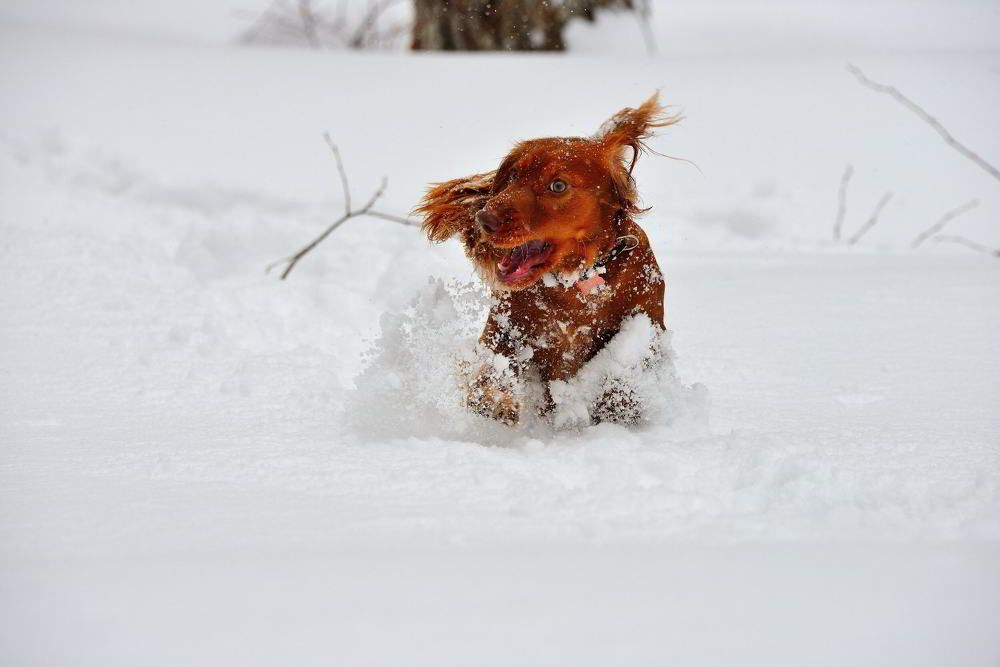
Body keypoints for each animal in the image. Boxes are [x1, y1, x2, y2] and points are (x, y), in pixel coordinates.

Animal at [415, 94, 680, 425]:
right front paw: (494, 398)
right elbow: (492, 365)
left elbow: (627, 363)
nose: (484, 218)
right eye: (514, 175)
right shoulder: (505, 325)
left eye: (558, 185)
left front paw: (616, 402)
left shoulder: (647, 319)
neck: (576, 280)